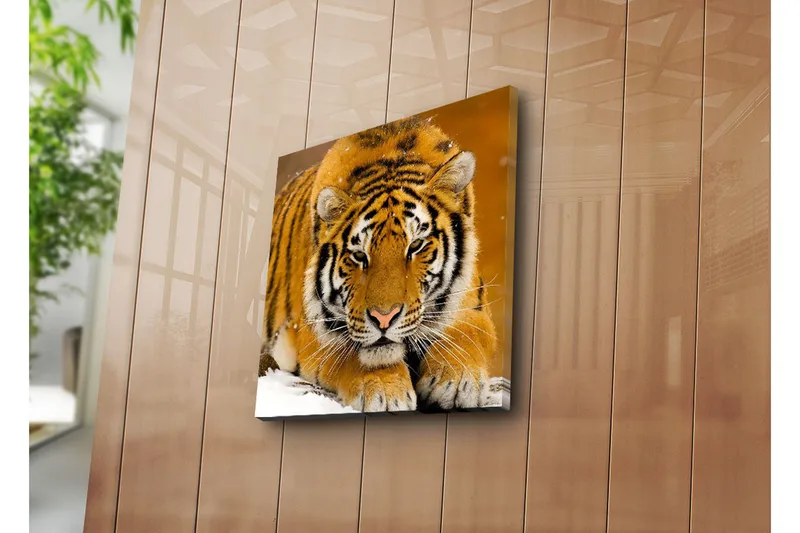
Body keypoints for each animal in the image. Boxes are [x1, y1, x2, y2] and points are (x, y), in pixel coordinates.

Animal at [259, 116, 497, 413]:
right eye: (360, 256)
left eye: (415, 246)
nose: (384, 318)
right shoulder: (312, 331)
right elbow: (354, 350)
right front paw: (384, 391)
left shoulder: (473, 302)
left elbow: (469, 332)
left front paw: (456, 380)